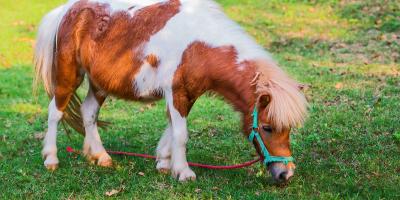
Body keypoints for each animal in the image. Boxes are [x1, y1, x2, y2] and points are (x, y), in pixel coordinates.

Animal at [34, 0, 308, 183]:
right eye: (267, 127)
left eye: (288, 129)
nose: (286, 174)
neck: (198, 44)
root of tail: (67, 10)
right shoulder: (177, 92)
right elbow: (181, 134)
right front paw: (184, 172)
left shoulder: (187, 94)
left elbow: (172, 129)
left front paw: (165, 163)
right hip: (69, 76)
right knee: (55, 113)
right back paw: (51, 159)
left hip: (100, 83)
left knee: (89, 113)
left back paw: (101, 157)